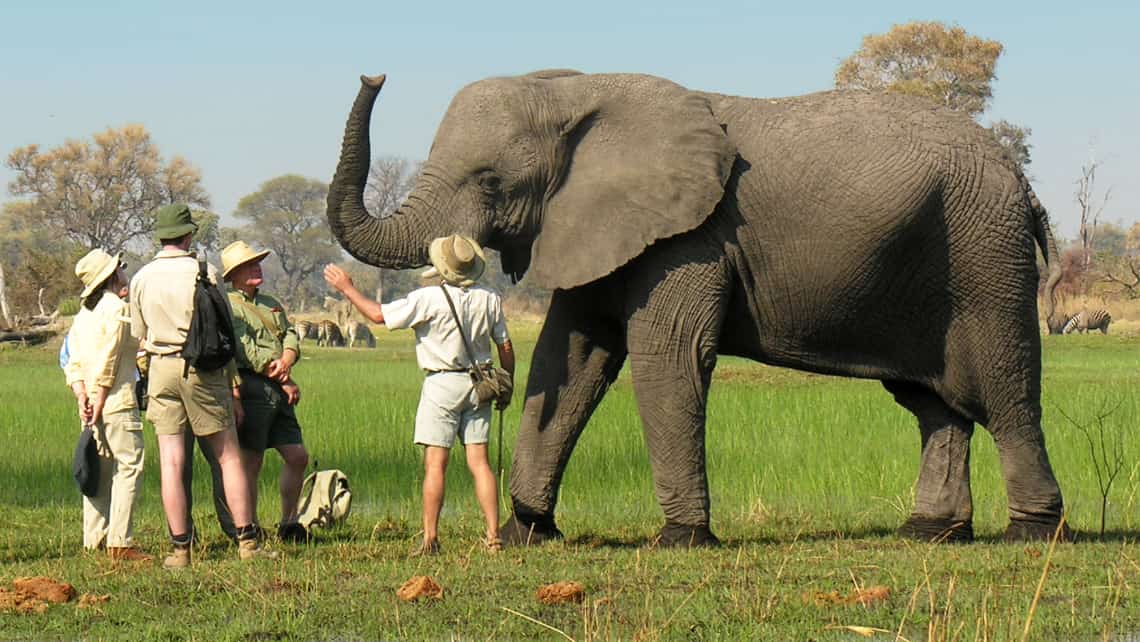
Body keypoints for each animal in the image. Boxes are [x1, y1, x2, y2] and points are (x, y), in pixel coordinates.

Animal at [328, 70, 1067, 545]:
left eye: (490, 182)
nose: (373, 72)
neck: (576, 89)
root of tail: (1025, 184)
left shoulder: (690, 237)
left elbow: (667, 355)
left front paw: (681, 538)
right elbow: (570, 355)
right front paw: (524, 533)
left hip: (983, 256)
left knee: (1005, 393)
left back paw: (1030, 534)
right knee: (933, 405)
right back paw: (929, 534)